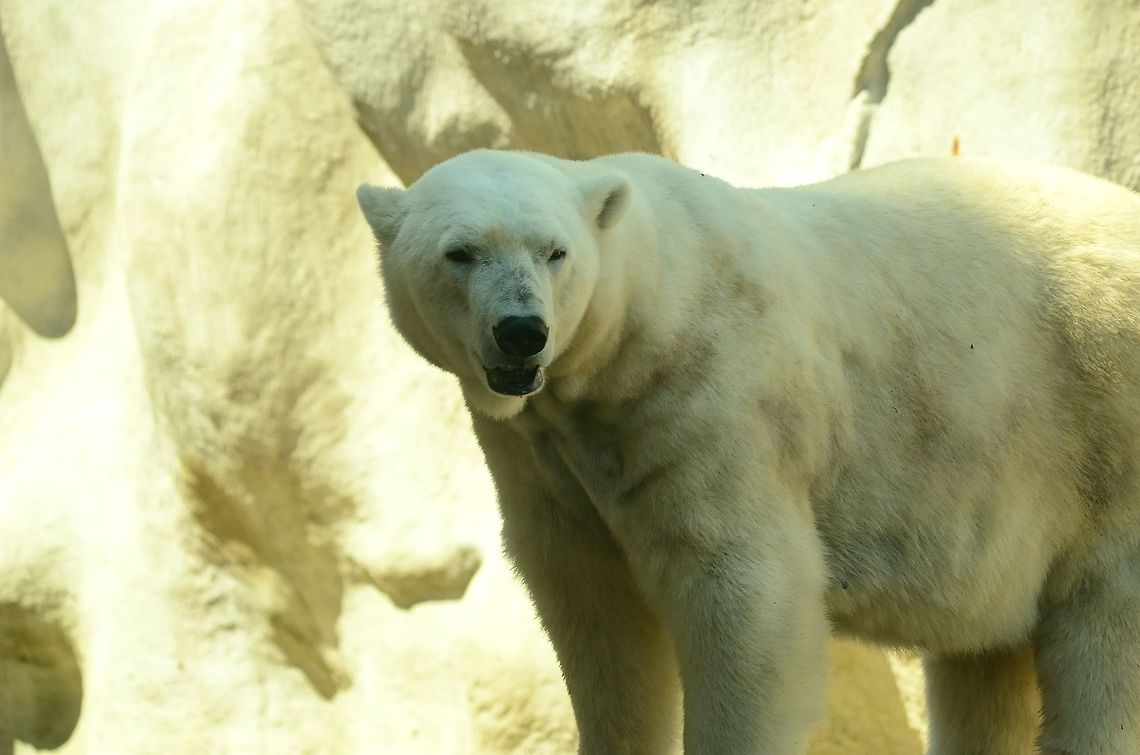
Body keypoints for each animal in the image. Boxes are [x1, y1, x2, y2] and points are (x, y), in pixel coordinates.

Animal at [357, 149, 1140, 755]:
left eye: (555, 251)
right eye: (460, 253)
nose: (522, 331)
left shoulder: (711, 401)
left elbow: (743, 591)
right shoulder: (540, 453)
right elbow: (592, 604)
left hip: (1100, 430)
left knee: (1106, 636)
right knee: (984, 660)